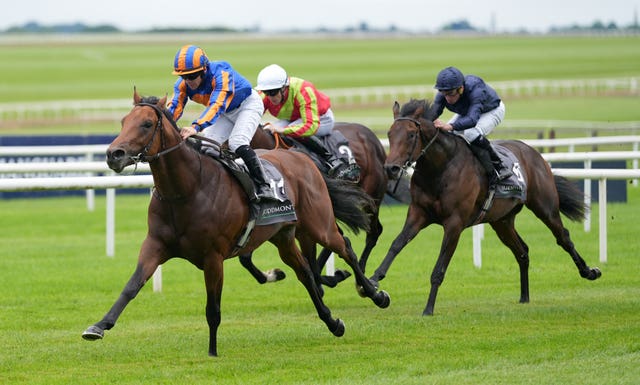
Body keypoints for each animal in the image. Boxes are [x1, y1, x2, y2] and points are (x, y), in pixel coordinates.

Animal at [368, 98, 604, 316]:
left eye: (410, 135)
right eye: (389, 134)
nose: (391, 168)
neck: (441, 168)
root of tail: (535, 154)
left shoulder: (454, 223)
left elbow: (439, 268)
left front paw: (428, 308)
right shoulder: (418, 213)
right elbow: (397, 244)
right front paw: (373, 281)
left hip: (545, 207)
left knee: (563, 237)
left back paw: (589, 271)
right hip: (502, 221)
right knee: (522, 251)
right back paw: (524, 296)